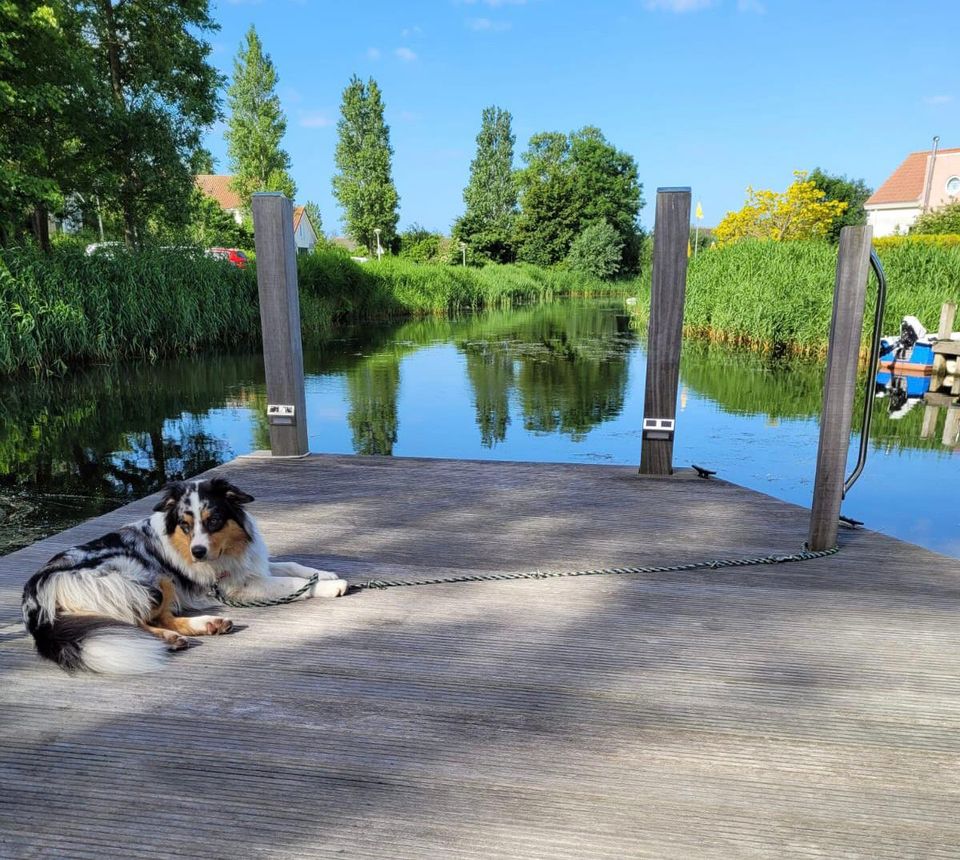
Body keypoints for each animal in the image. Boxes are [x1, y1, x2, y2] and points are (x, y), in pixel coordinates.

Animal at [20, 478, 348, 672]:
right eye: (185, 524)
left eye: (213, 520)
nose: (198, 552)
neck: (227, 549)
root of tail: (35, 592)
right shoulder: (238, 586)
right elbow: (291, 582)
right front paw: (332, 586)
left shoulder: (250, 566)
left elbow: (292, 566)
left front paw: (326, 573)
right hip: (145, 579)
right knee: (132, 621)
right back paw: (173, 637)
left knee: (155, 618)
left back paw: (206, 626)